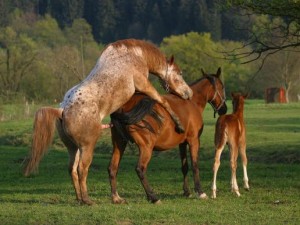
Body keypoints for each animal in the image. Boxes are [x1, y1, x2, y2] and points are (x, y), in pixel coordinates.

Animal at [22, 39, 192, 206]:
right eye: (180, 73)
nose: (188, 93)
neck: (135, 55)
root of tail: (63, 110)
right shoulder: (143, 84)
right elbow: (162, 100)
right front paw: (178, 123)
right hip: (87, 147)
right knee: (82, 169)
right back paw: (87, 200)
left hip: (73, 148)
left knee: (72, 169)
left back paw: (83, 199)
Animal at [109, 67, 226, 204]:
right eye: (222, 86)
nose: (224, 109)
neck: (192, 102)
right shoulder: (194, 140)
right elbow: (195, 165)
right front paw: (200, 191)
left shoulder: (182, 143)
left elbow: (185, 166)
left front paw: (187, 191)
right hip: (146, 147)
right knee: (140, 169)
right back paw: (153, 197)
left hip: (119, 143)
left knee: (112, 168)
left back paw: (116, 197)